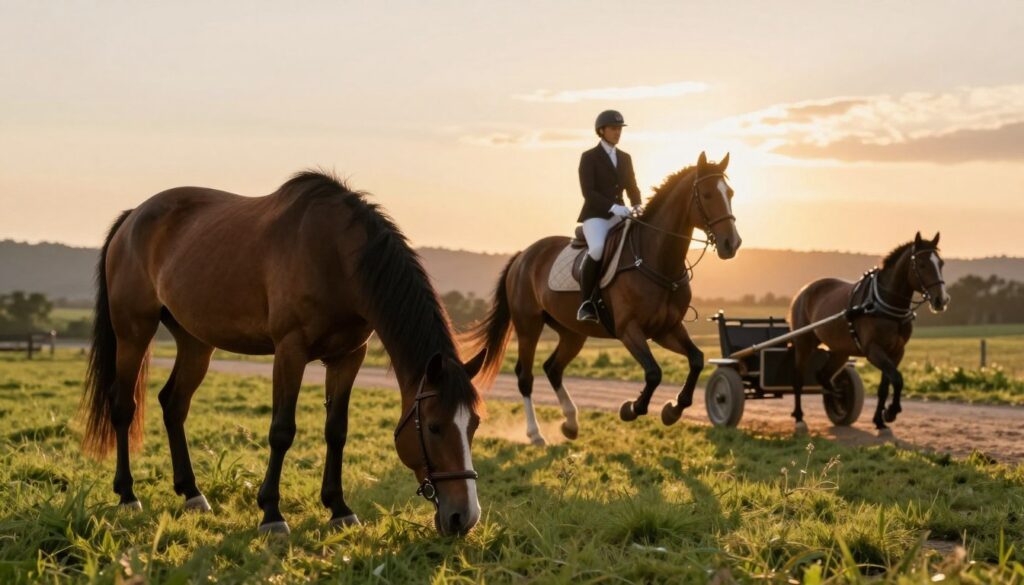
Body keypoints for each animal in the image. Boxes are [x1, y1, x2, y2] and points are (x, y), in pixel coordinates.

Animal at [80, 171, 486, 536]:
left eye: (474, 425)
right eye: (433, 427)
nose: (463, 517)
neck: (334, 255)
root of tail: (132, 217)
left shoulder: (349, 356)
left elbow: (336, 431)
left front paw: (339, 508)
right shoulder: (290, 351)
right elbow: (282, 431)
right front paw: (272, 514)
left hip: (196, 343)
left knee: (173, 404)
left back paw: (192, 493)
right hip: (134, 332)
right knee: (124, 406)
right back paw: (128, 495)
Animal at [464, 152, 742, 445]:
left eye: (730, 193)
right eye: (708, 194)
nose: (731, 244)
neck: (656, 259)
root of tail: (524, 255)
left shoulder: (666, 329)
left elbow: (696, 359)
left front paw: (673, 410)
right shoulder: (629, 329)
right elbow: (654, 373)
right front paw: (632, 408)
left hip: (573, 333)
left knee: (553, 368)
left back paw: (571, 424)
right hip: (529, 326)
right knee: (525, 376)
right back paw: (536, 434)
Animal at [788, 232, 949, 434]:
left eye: (940, 263)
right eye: (922, 264)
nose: (941, 300)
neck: (881, 305)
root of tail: (803, 291)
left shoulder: (896, 352)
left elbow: (885, 386)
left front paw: (880, 420)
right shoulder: (874, 351)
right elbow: (897, 379)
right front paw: (891, 412)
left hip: (840, 351)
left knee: (824, 376)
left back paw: (837, 397)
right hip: (803, 343)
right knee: (798, 379)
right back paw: (799, 418)